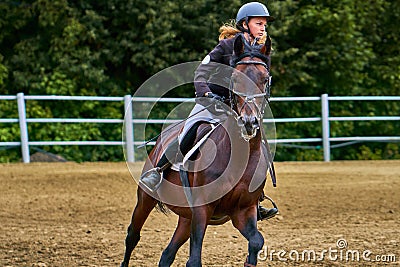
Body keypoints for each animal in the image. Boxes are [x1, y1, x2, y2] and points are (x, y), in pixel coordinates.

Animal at [119, 34, 276, 267]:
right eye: (234, 79)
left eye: (265, 79)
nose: (249, 122)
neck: (240, 156)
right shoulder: (202, 209)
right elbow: (194, 260)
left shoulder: (243, 211)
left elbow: (256, 242)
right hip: (146, 199)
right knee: (132, 236)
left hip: (186, 217)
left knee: (167, 254)